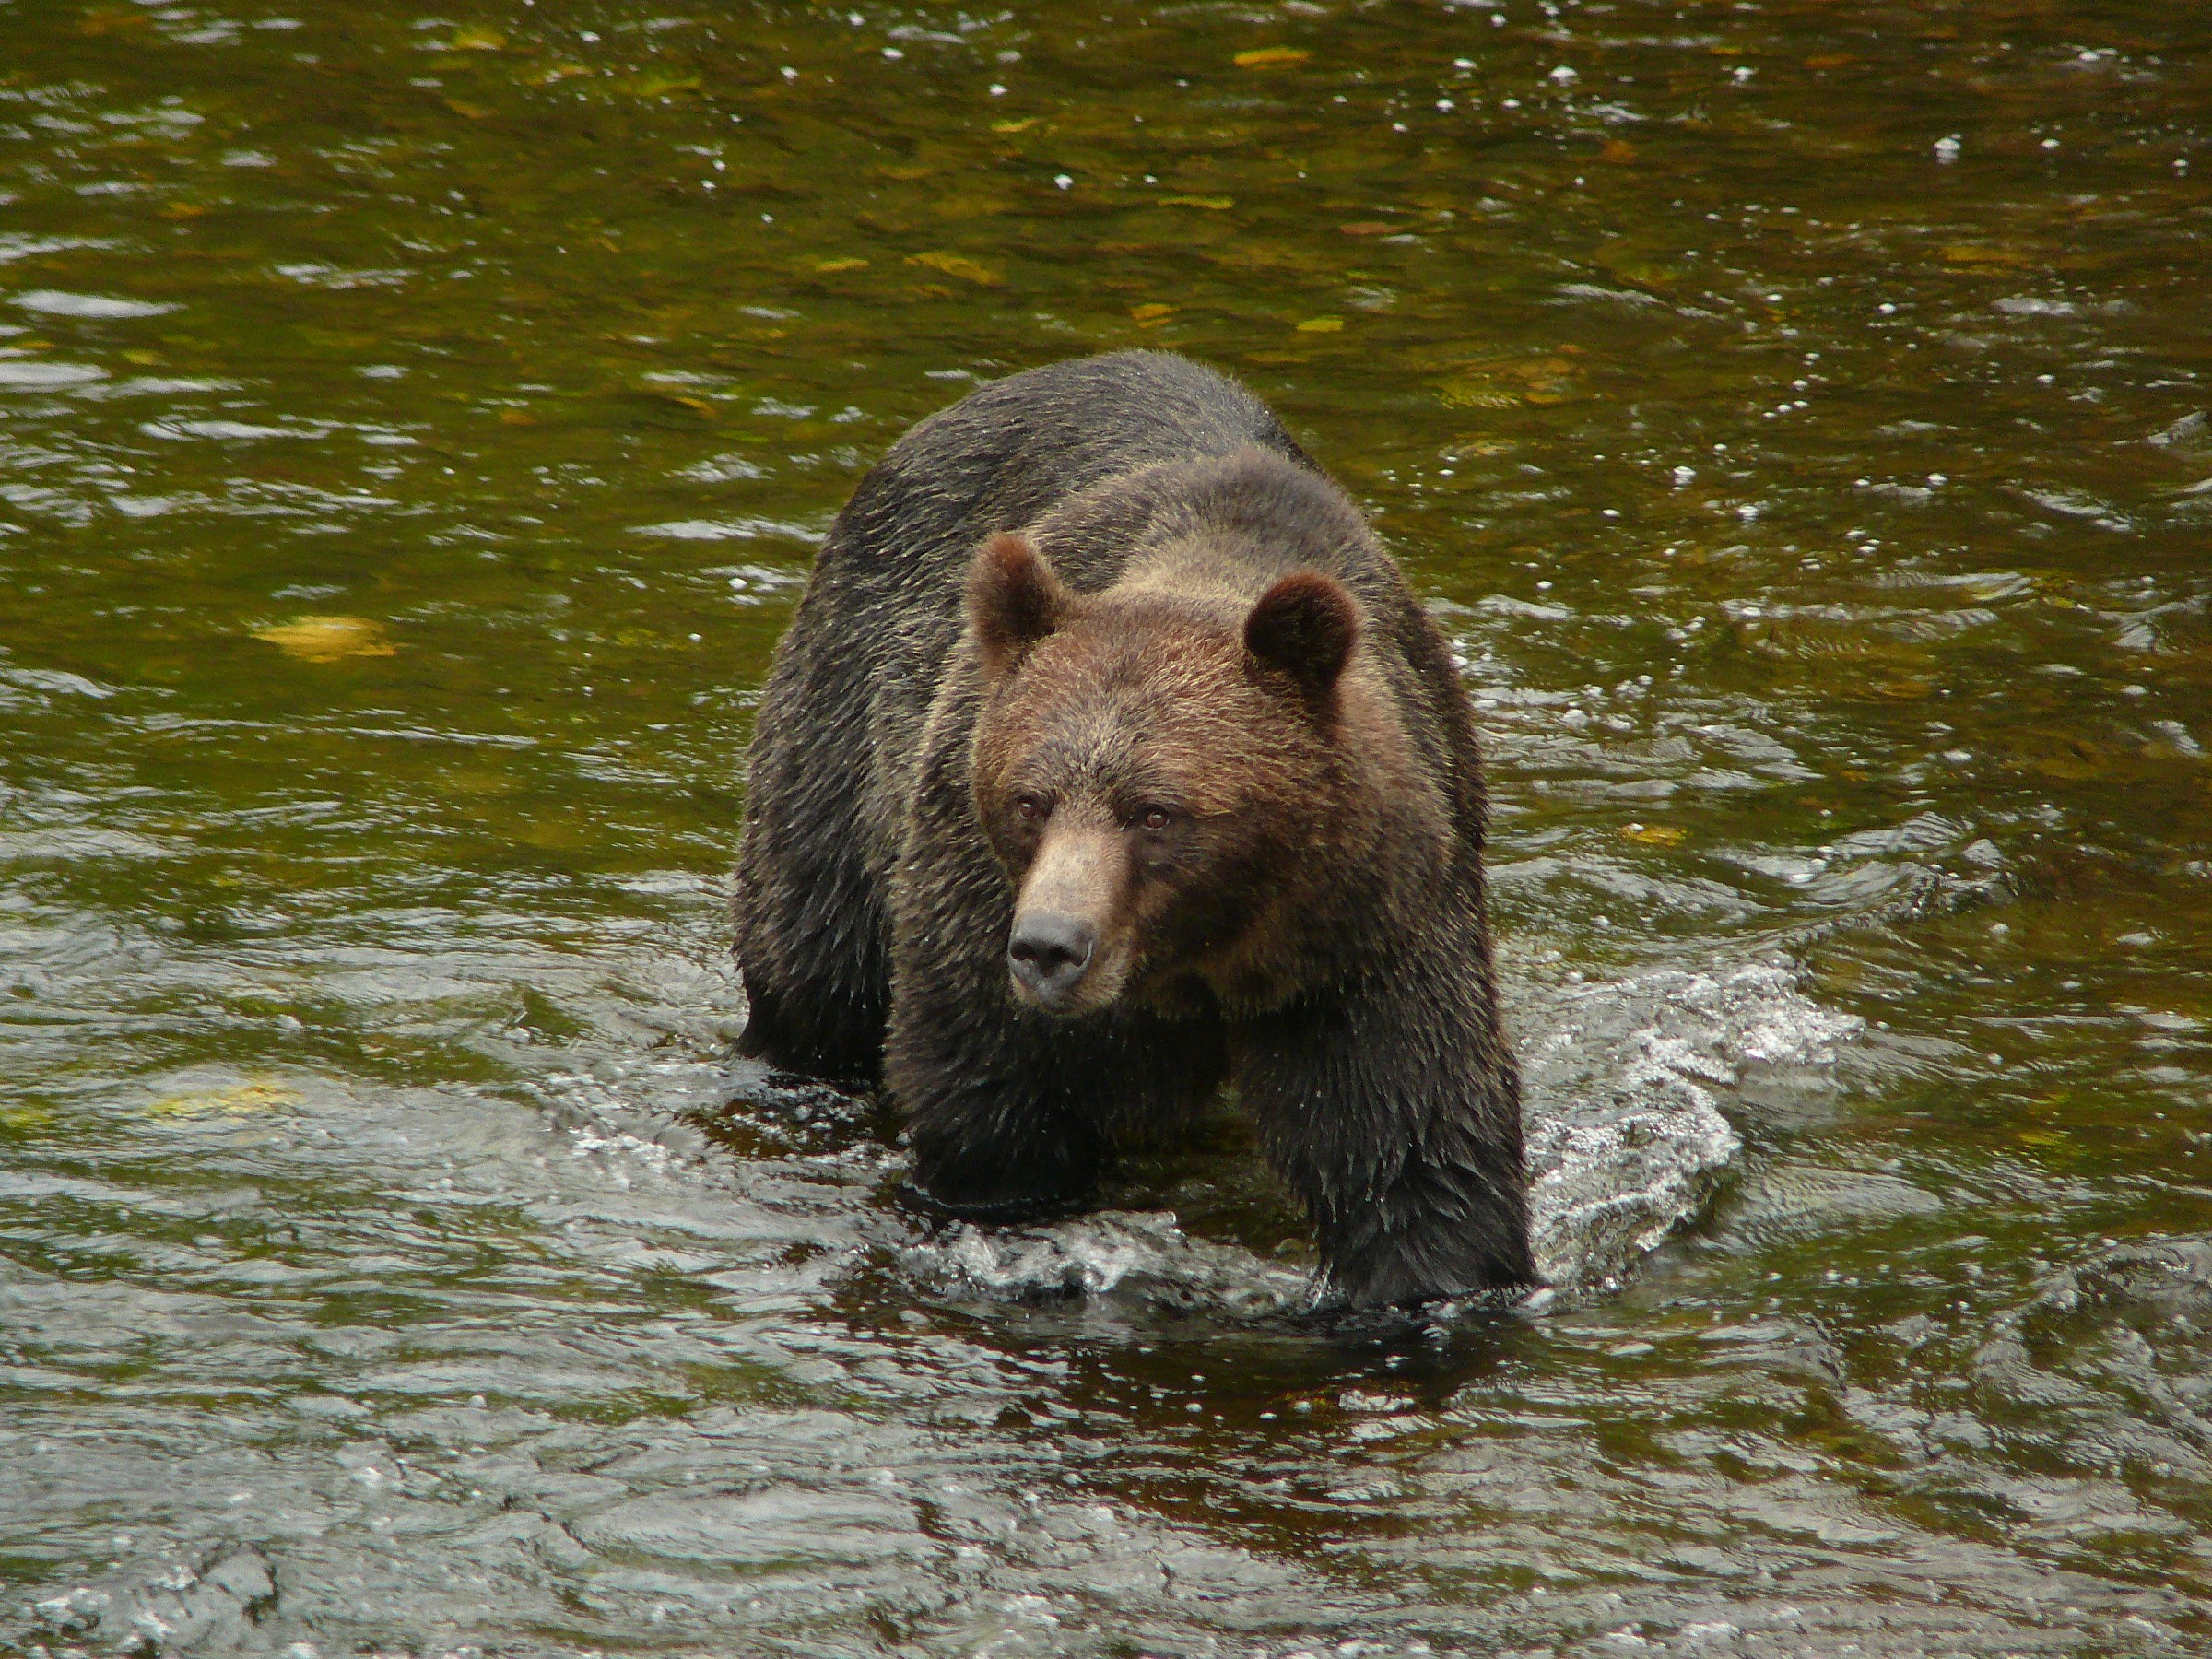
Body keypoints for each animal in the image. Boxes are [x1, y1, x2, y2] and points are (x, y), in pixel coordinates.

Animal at [733, 350, 1531, 1306]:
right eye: (1030, 800)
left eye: (1156, 812)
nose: (1049, 946)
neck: (1202, 954)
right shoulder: (973, 901)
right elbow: (993, 1111)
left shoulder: (1370, 936)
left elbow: (1414, 1150)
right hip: (845, 730)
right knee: (819, 965)